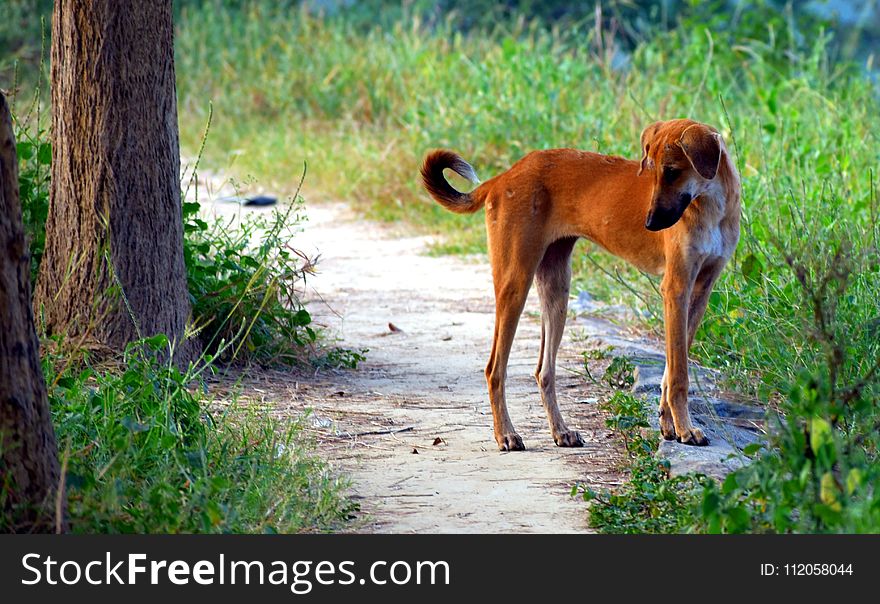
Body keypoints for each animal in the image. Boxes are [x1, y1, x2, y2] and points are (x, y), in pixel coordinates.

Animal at [422, 119, 740, 448]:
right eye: (651, 172)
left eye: (673, 171)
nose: (650, 223)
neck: (711, 205)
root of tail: (503, 177)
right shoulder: (676, 289)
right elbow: (678, 374)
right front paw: (685, 428)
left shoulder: (700, 292)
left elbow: (671, 369)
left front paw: (669, 424)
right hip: (515, 283)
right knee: (494, 370)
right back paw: (506, 434)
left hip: (557, 289)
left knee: (544, 371)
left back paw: (561, 431)